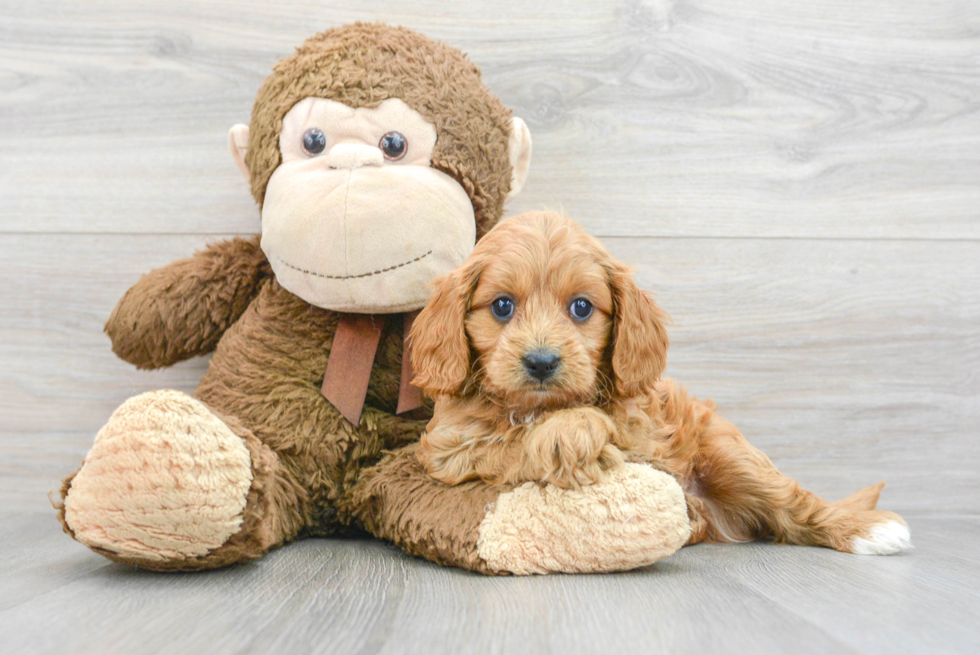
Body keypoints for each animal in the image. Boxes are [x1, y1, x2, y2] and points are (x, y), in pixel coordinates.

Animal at [410, 211, 916, 560]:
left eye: (581, 307)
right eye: (501, 306)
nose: (541, 361)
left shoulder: (641, 429)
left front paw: (571, 430)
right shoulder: (450, 447)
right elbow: (506, 440)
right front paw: (562, 436)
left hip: (728, 453)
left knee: (794, 505)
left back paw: (866, 530)